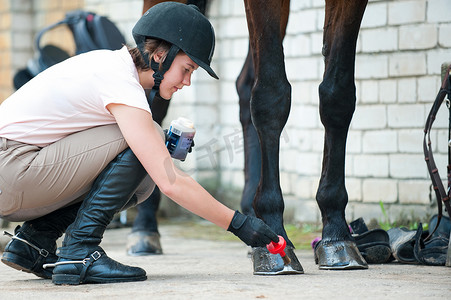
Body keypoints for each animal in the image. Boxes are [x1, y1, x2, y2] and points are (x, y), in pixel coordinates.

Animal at [139, 0, 370, 272]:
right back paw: (144, 229)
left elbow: (337, 95)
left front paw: (337, 234)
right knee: (156, 98)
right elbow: (271, 95)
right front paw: (273, 234)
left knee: (245, 84)